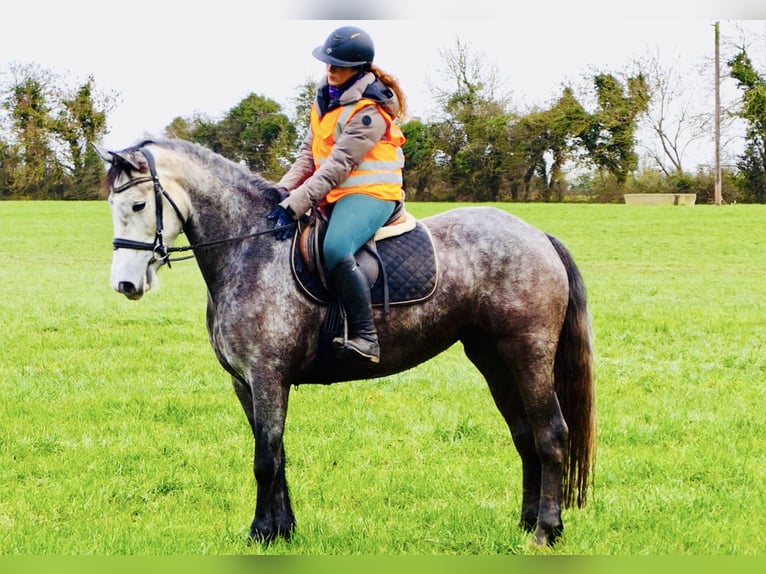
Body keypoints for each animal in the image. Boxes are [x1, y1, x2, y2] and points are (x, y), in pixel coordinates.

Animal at [96, 137, 595, 547]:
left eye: (138, 205)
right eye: (112, 204)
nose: (125, 284)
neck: (250, 249)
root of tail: (537, 236)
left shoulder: (267, 376)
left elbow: (265, 458)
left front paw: (260, 533)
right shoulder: (245, 382)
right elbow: (276, 452)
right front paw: (283, 530)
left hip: (527, 354)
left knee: (551, 434)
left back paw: (546, 532)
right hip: (494, 359)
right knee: (524, 435)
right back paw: (526, 523)